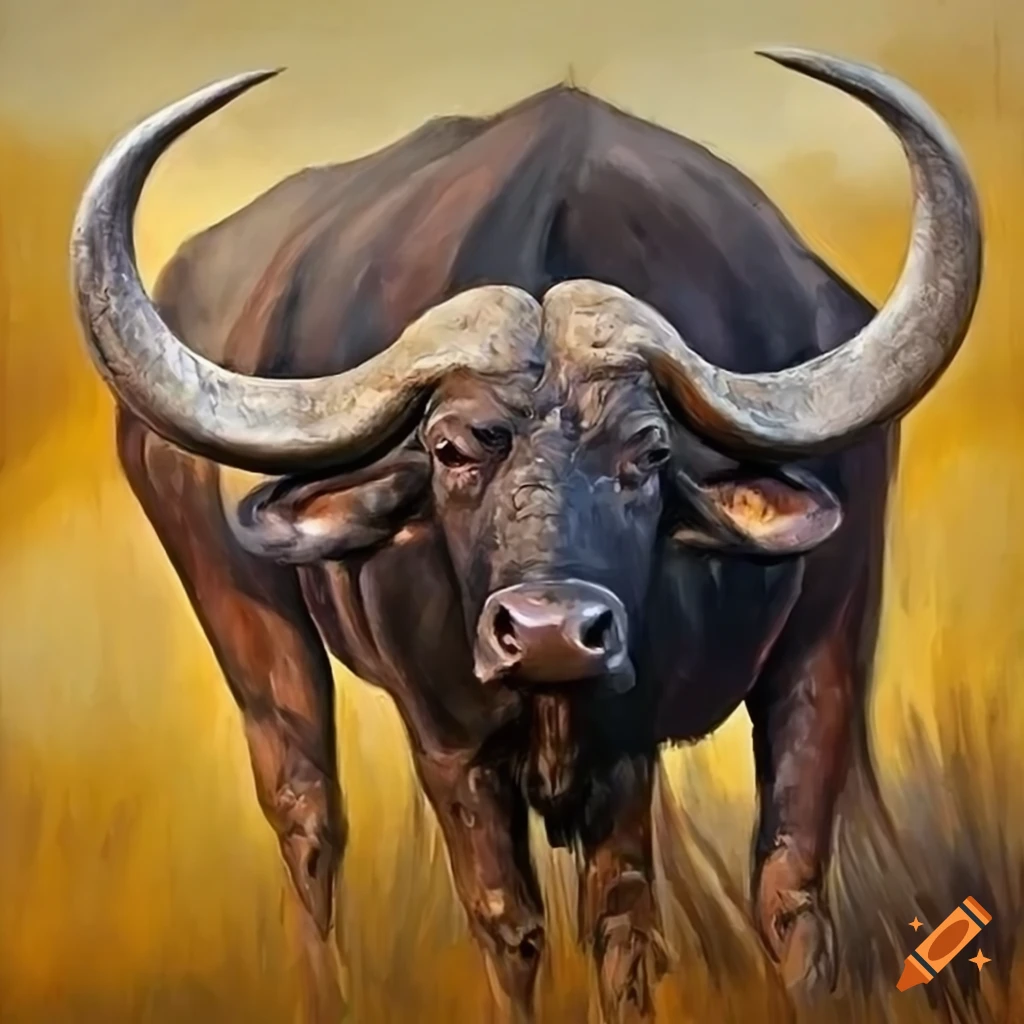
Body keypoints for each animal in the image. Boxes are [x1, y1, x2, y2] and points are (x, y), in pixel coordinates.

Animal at [70, 47, 982, 1022]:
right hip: (241, 609)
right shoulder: (447, 738)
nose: (551, 631)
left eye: (650, 450)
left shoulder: (790, 665)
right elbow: (509, 924)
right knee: (306, 814)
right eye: (448, 447)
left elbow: (699, 911)